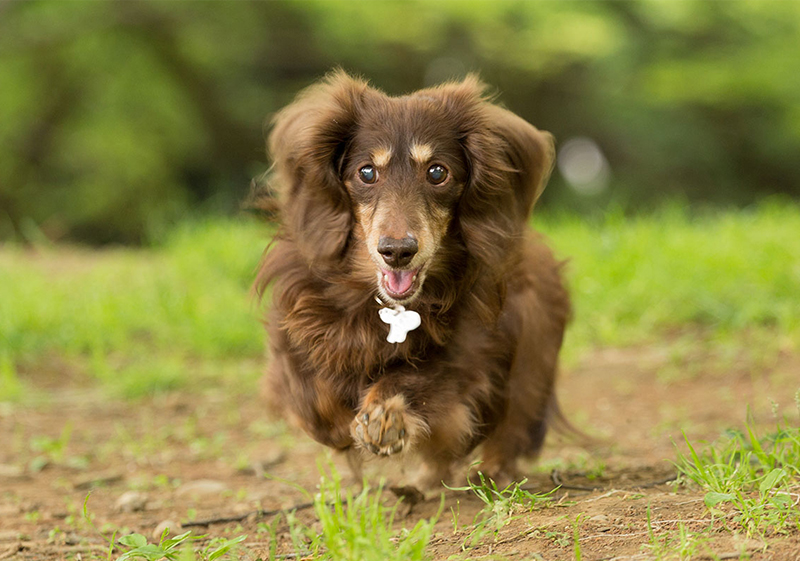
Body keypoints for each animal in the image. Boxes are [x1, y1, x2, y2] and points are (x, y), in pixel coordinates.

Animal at [255, 72, 568, 488]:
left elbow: (419, 379)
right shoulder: (294, 331)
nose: (397, 250)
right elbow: (311, 396)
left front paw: (385, 417)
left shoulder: (467, 356)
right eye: (366, 172)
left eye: (437, 172)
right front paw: (339, 425)